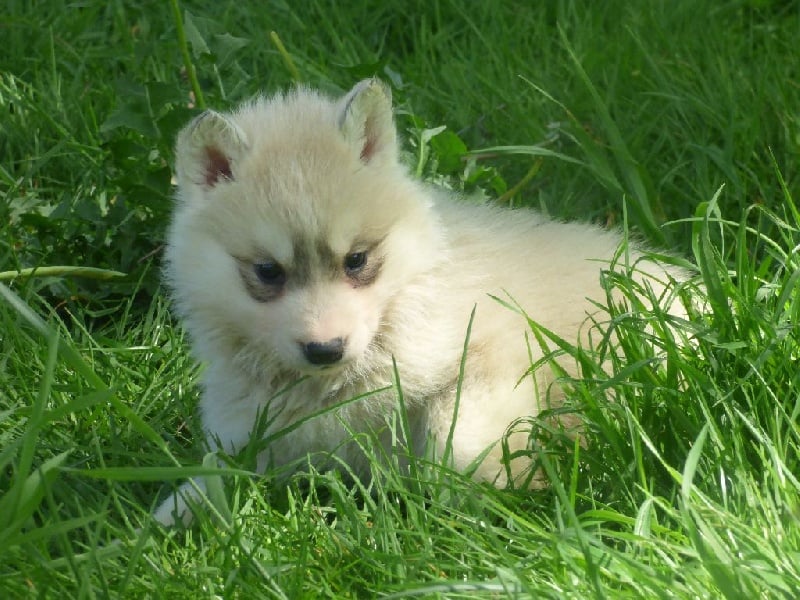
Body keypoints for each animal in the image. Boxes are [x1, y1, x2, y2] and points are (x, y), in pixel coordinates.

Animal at [154, 78, 685, 526]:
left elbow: (454, 447)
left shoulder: (495, 351)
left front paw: (500, 495)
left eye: (356, 259)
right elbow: (212, 480)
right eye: (267, 271)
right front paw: (155, 528)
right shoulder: (257, 440)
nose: (326, 350)